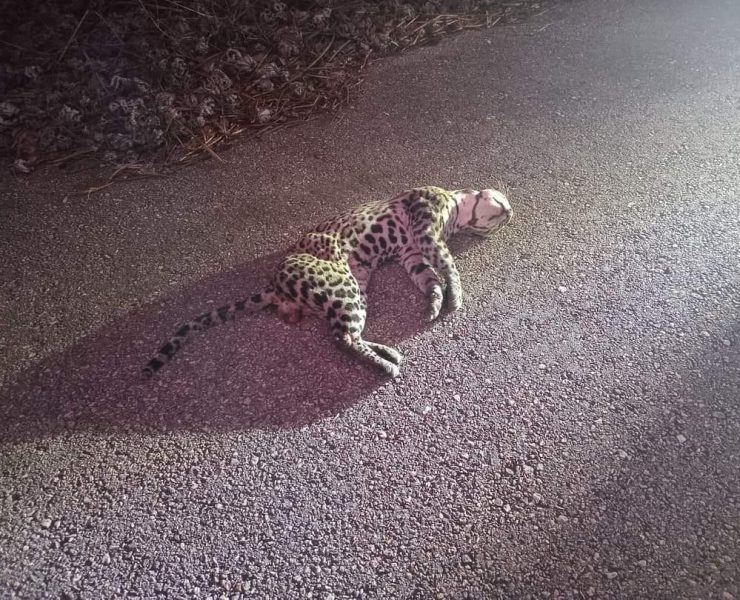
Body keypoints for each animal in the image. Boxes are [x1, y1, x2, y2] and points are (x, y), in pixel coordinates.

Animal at [143, 185, 513, 378]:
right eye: (503, 202)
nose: (511, 213)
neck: (456, 209)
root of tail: (274, 283)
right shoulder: (426, 231)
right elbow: (449, 266)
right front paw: (455, 295)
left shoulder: (412, 254)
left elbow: (429, 279)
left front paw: (435, 302)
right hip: (344, 287)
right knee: (343, 338)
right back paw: (385, 366)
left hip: (354, 290)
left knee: (346, 334)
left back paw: (386, 352)